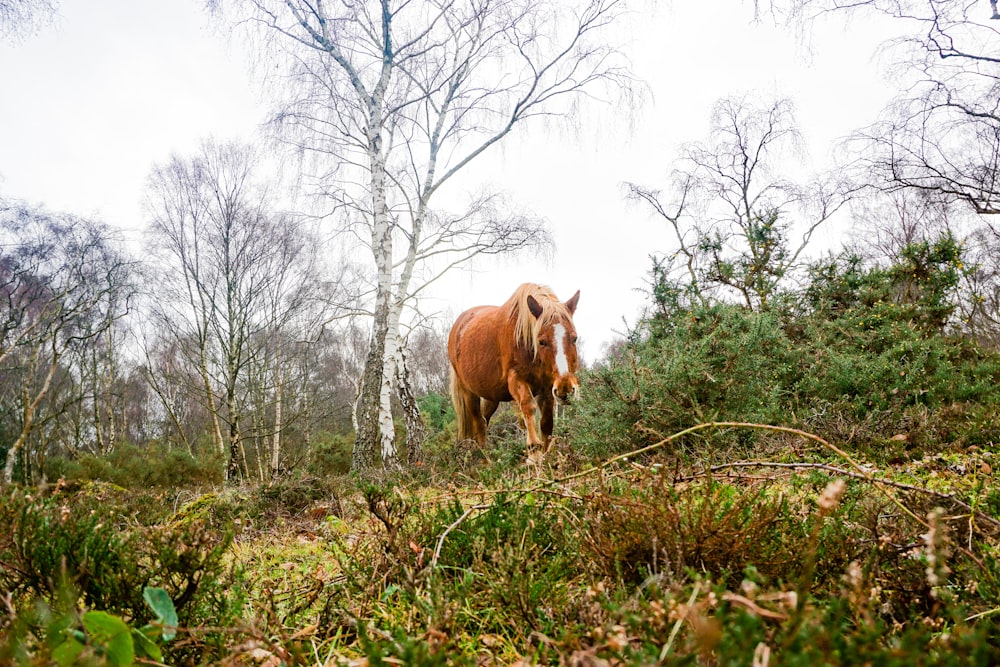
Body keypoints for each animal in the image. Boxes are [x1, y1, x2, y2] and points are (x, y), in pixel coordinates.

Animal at [450, 284, 584, 452]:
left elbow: (546, 424)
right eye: (541, 341)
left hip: (491, 395)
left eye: (574, 338)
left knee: (484, 419)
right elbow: (528, 408)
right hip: (468, 392)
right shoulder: (516, 380)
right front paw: (534, 449)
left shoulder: (548, 387)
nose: (565, 389)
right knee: (479, 424)